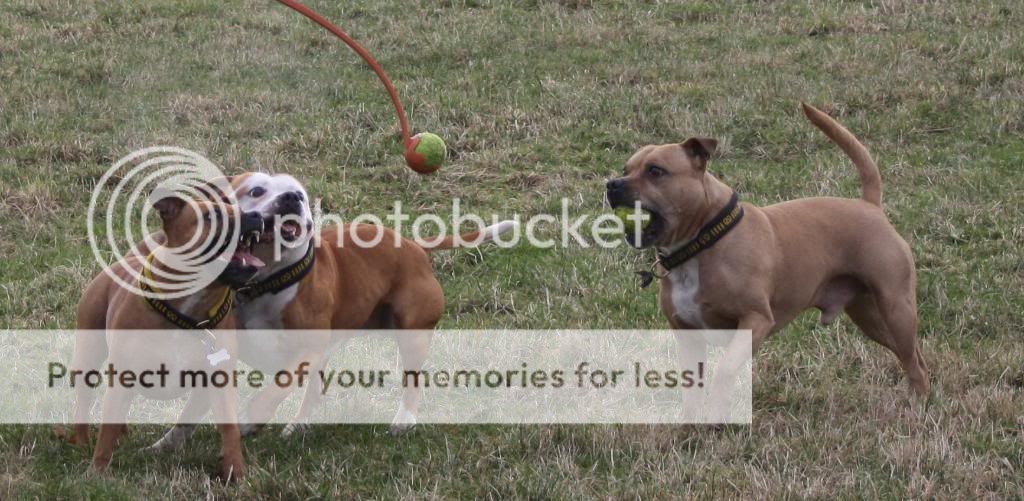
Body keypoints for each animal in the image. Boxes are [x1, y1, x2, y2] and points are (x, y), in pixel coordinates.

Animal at [602, 102, 933, 413]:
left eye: (656, 171)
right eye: (626, 168)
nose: (612, 184)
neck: (702, 241)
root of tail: (870, 206)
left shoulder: (755, 320)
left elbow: (725, 369)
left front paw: (717, 415)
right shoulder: (688, 335)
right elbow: (691, 388)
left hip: (896, 308)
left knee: (912, 360)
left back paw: (920, 404)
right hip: (870, 316)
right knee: (912, 355)